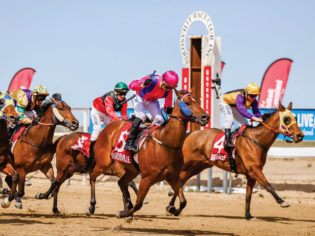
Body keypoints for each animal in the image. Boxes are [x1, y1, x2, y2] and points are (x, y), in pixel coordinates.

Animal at [86, 90, 210, 219]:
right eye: (187, 103)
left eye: (197, 102)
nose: (205, 117)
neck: (166, 143)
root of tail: (108, 127)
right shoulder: (147, 178)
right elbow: (139, 204)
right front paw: (124, 213)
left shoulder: (173, 177)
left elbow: (183, 201)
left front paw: (172, 209)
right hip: (103, 163)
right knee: (93, 177)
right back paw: (92, 206)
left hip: (132, 170)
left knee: (121, 182)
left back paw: (126, 204)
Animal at [167, 101, 304, 219]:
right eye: (287, 119)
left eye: (296, 118)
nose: (300, 136)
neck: (257, 140)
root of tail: (190, 134)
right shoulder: (254, 170)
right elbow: (269, 186)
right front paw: (282, 201)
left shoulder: (251, 175)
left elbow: (248, 195)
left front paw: (248, 215)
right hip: (186, 165)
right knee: (178, 182)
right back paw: (174, 206)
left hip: (197, 167)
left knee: (180, 182)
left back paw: (172, 207)